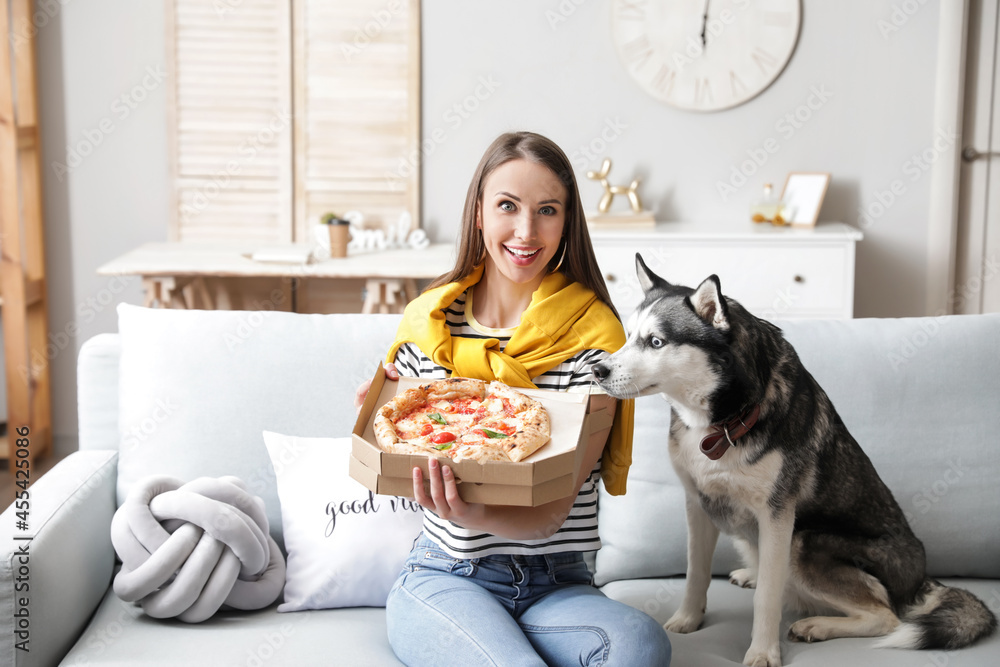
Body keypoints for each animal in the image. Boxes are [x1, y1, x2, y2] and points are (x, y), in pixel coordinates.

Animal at [592, 256, 992, 667]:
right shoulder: (698, 504)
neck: (722, 422)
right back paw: (754, 575)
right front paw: (688, 619)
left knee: (885, 616)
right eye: (628, 336)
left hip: (806, 541)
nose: (598, 370)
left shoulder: (778, 515)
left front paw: (762, 652)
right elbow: (696, 574)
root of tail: (919, 580)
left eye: (656, 342)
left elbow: (767, 598)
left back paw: (817, 624)